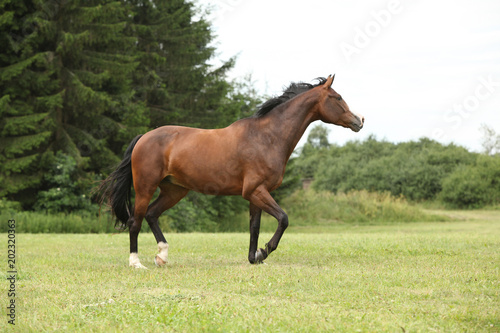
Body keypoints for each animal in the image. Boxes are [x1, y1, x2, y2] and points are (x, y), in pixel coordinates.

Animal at [98, 74, 364, 268]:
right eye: (337, 97)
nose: (359, 121)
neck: (267, 137)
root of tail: (144, 137)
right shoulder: (256, 191)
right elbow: (283, 219)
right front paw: (264, 251)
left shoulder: (256, 194)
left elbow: (254, 227)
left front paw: (254, 257)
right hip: (145, 187)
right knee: (135, 221)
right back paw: (136, 263)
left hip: (174, 190)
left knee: (152, 215)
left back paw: (162, 256)